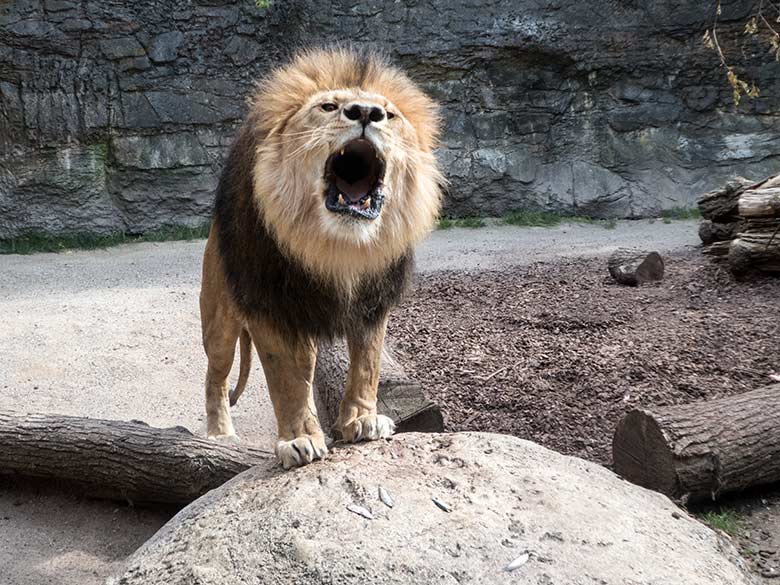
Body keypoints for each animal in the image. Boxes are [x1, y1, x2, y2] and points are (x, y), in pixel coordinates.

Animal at [200, 45, 444, 468]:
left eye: (389, 114)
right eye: (328, 107)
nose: (366, 113)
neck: (336, 247)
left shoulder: (372, 303)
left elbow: (366, 366)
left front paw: (362, 420)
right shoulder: (268, 306)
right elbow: (285, 381)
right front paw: (298, 439)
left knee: (307, 367)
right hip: (219, 319)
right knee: (216, 376)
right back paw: (220, 435)